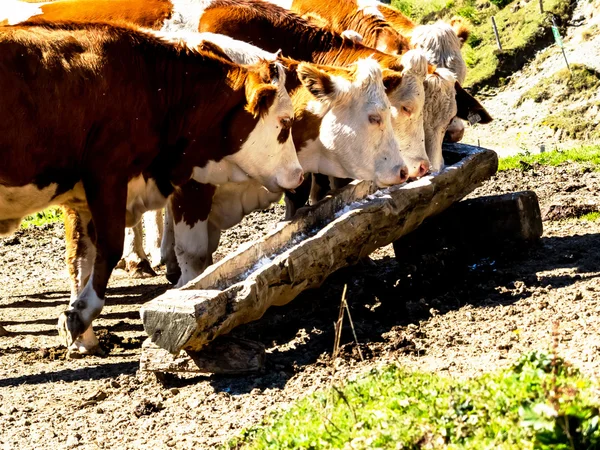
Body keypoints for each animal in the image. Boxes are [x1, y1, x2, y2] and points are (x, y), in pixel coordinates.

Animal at [0, 22, 308, 356]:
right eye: (285, 122)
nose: (299, 175)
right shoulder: (108, 174)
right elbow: (111, 249)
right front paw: (80, 313)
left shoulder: (83, 197)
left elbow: (83, 258)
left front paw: (82, 332)